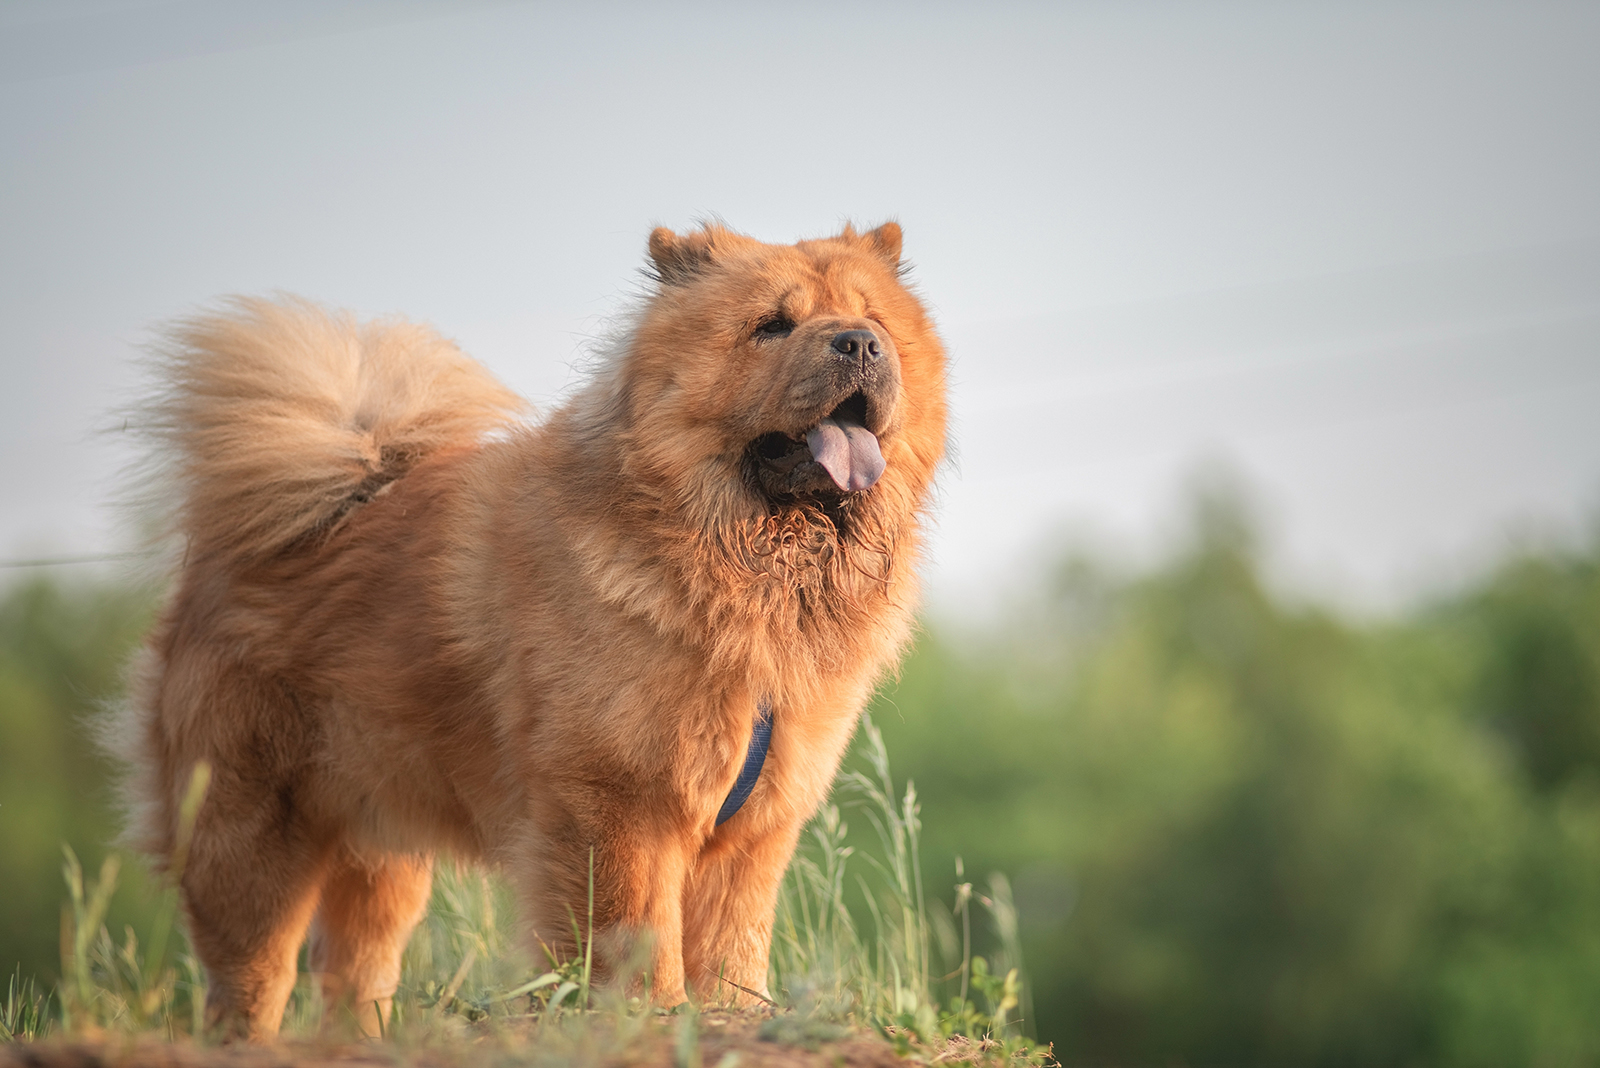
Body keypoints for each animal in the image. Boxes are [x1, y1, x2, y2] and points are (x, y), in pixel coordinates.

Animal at [112, 223, 947, 1036]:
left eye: (873, 322)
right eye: (773, 326)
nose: (859, 345)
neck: (750, 564)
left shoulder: (757, 824)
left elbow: (732, 939)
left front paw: (736, 1017)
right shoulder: (615, 800)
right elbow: (635, 926)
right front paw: (647, 1014)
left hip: (381, 843)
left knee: (354, 971)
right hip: (249, 828)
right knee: (252, 974)